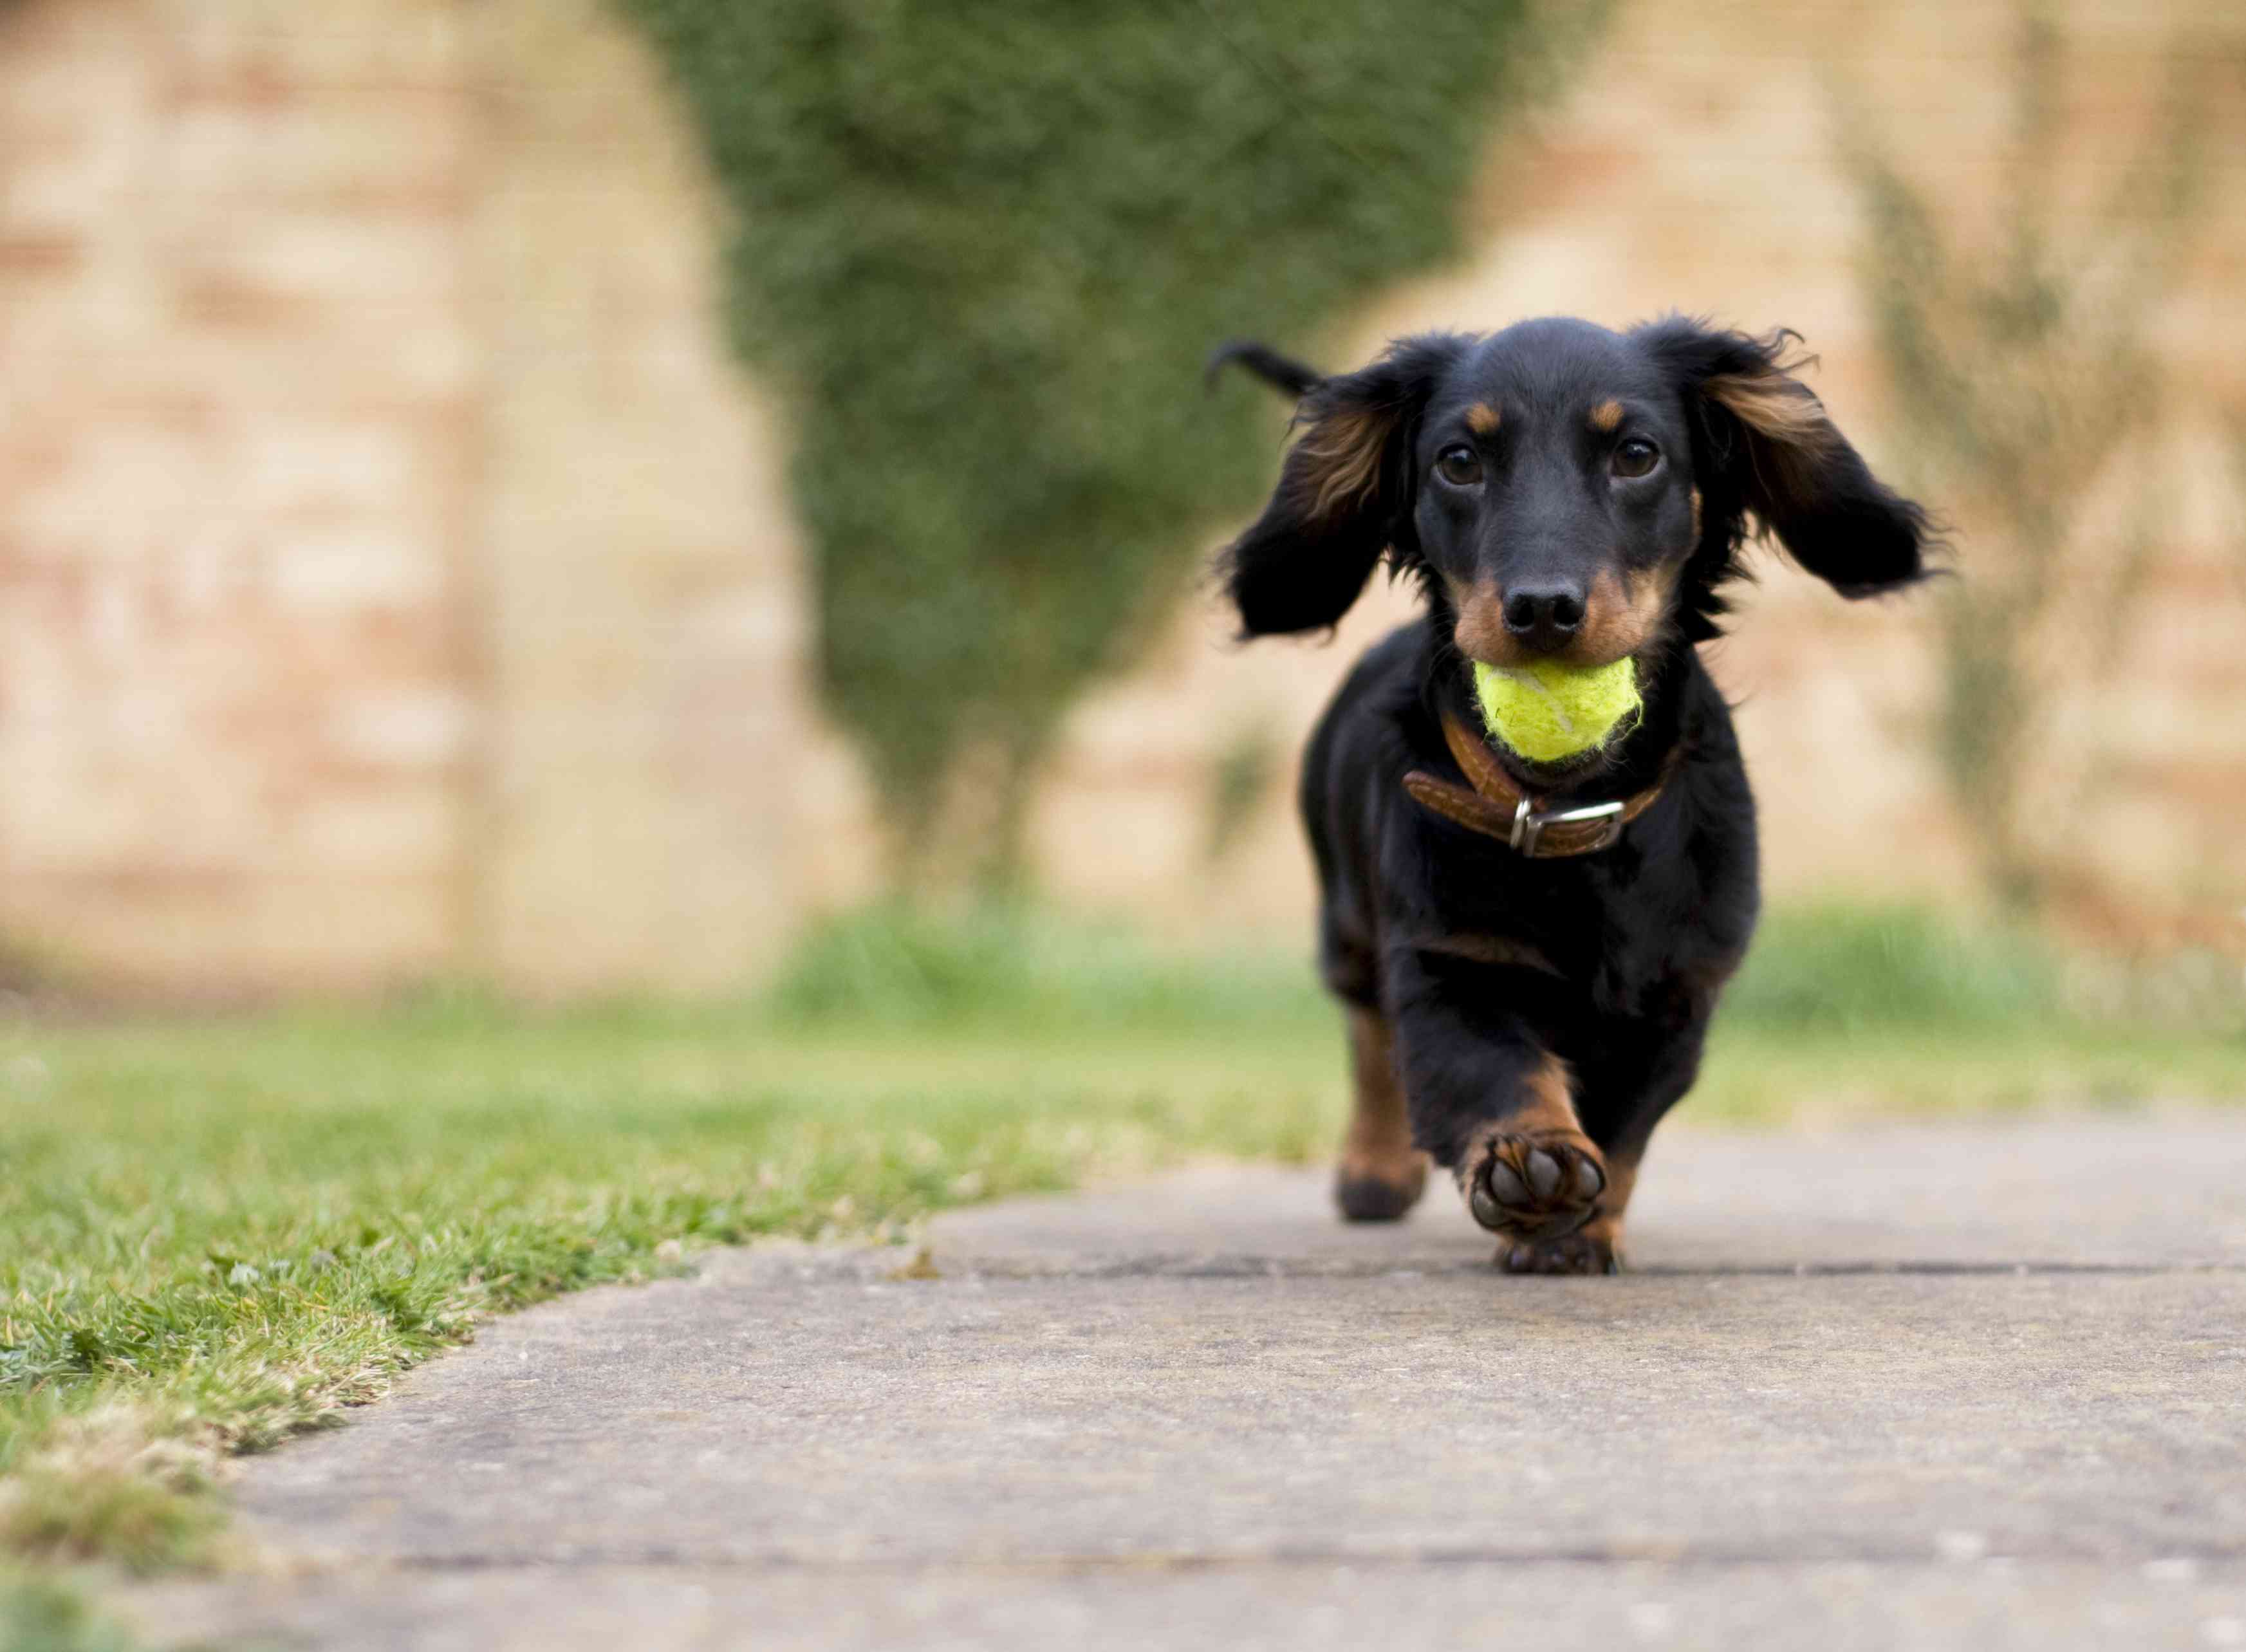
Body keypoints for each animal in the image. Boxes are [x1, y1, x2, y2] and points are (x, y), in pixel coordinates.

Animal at [1212, 316, 1931, 1275]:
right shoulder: (1448, 959)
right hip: (1347, 919)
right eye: (1458, 460)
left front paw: (1579, 1229)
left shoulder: (1675, 992)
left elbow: (1622, 1125)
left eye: (1636, 454)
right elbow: (1488, 1068)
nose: (1543, 608)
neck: (1566, 809)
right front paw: (1532, 1163)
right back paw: (1374, 1168)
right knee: (1369, 1034)